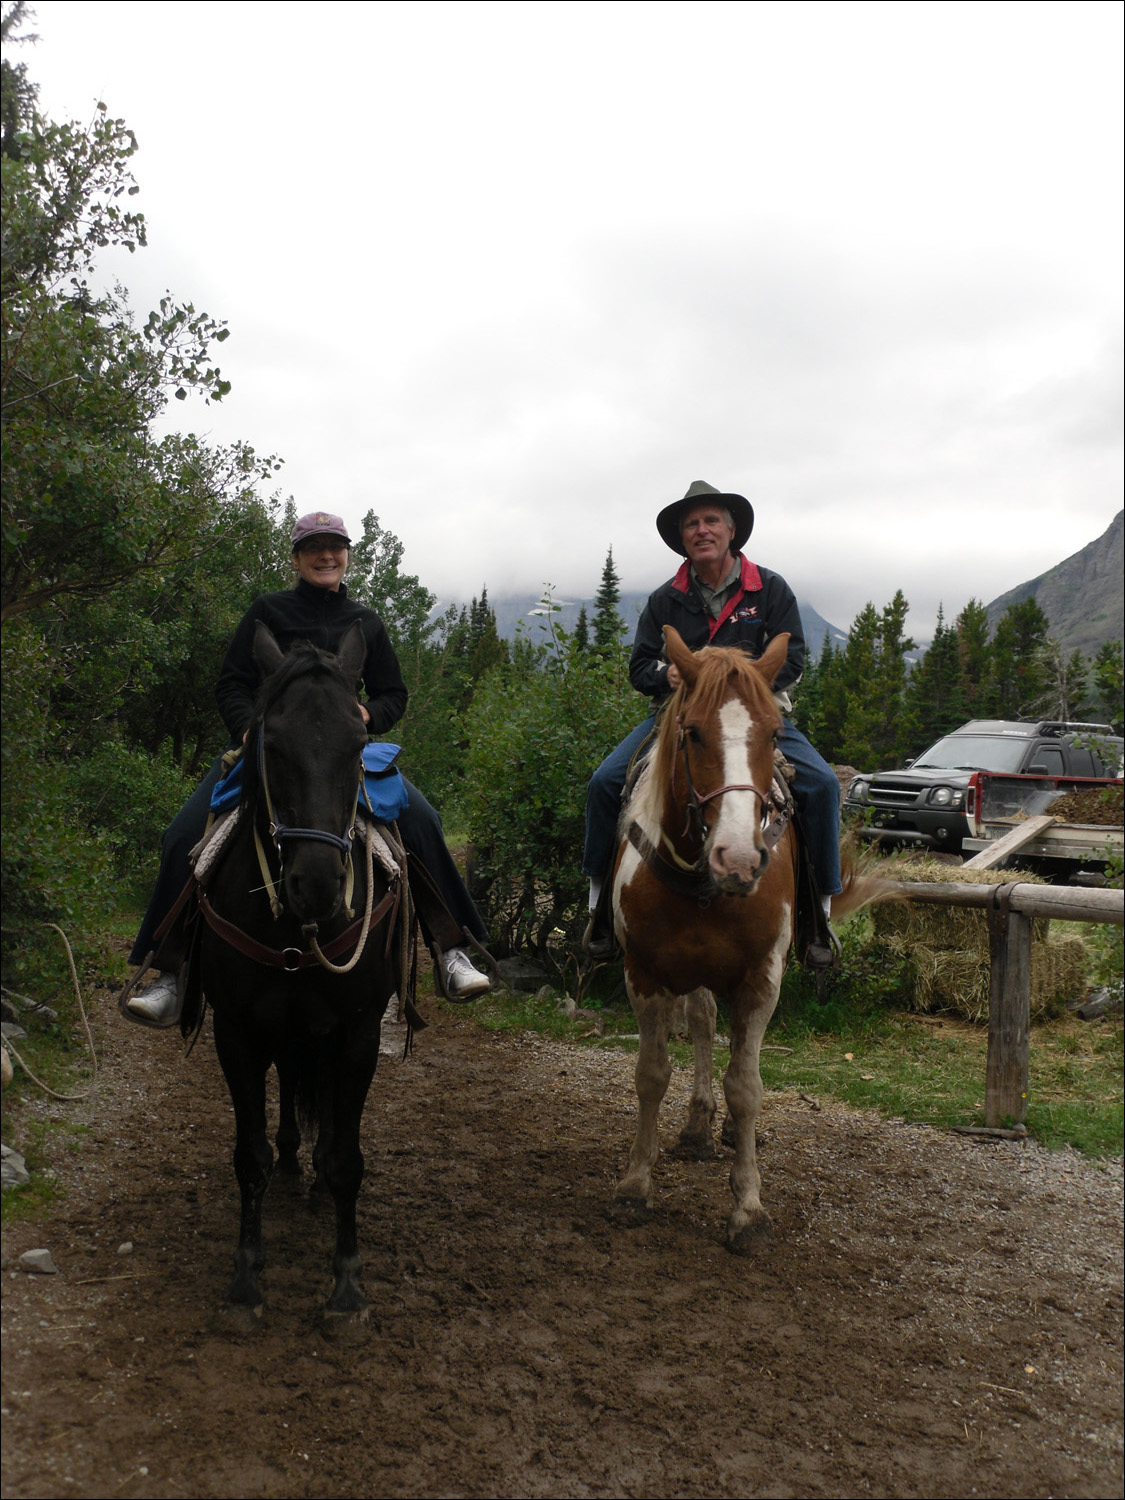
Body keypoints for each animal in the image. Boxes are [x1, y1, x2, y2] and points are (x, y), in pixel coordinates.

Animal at [196, 621, 402, 1314]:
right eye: (273, 744)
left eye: (359, 744)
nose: (315, 884)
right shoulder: (235, 1031)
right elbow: (248, 1156)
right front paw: (244, 1279)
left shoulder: (358, 1032)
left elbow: (346, 1159)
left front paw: (347, 1285)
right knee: (288, 1085)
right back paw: (291, 1164)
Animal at [612, 621, 804, 1254]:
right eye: (692, 732)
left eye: (774, 733)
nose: (739, 859)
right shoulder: (644, 973)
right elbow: (651, 1075)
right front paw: (635, 1184)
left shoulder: (761, 981)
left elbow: (746, 1088)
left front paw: (748, 1209)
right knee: (700, 1022)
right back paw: (697, 1125)